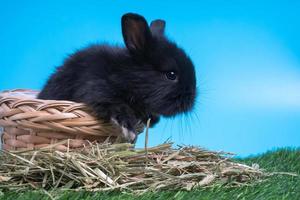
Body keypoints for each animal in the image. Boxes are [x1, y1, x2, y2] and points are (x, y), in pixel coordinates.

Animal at [38, 12, 197, 142]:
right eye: (171, 75)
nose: (192, 98)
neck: (125, 75)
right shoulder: (98, 88)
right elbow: (117, 106)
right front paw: (128, 129)